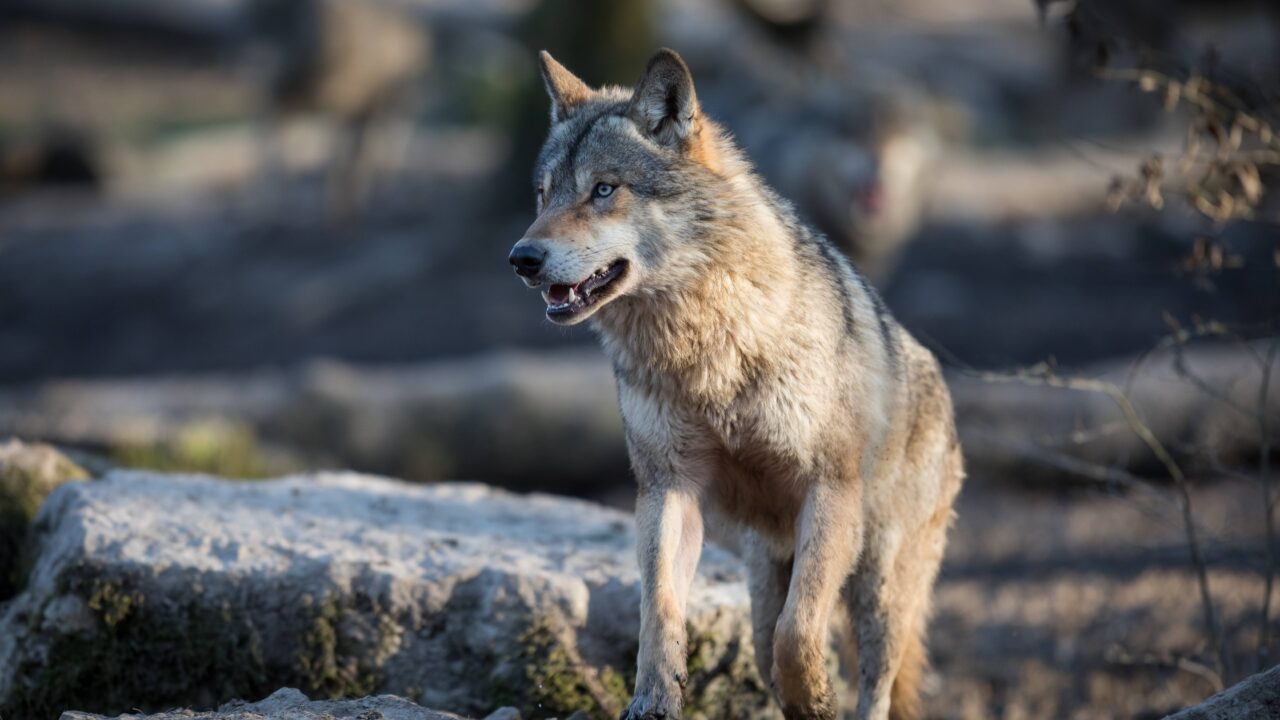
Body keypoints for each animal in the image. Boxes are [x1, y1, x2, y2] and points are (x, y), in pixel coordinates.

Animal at [507, 48, 964, 720]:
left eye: (604, 189)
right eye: (543, 195)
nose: (522, 258)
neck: (708, 351)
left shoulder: (830, 490)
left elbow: (799, 636)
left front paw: (816, 696)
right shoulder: (669, 488)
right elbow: (659, 611)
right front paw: (653, 701)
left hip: (879, 583)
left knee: (872, 680)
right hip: (764, 578)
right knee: (767, 642)